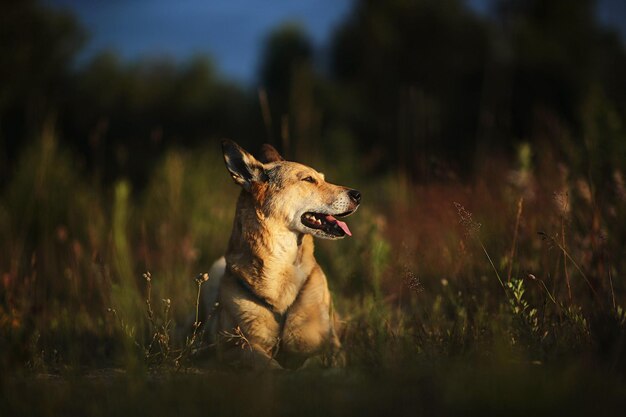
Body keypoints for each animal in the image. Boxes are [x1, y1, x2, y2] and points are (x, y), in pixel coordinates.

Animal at [197, 141, 358, 368]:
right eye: (308, 179)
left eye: (322, 178)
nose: (358, 195)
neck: (282, 264)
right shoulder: (231, 349)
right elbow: (268, 363)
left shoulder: (332, 347)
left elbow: (313, 361)